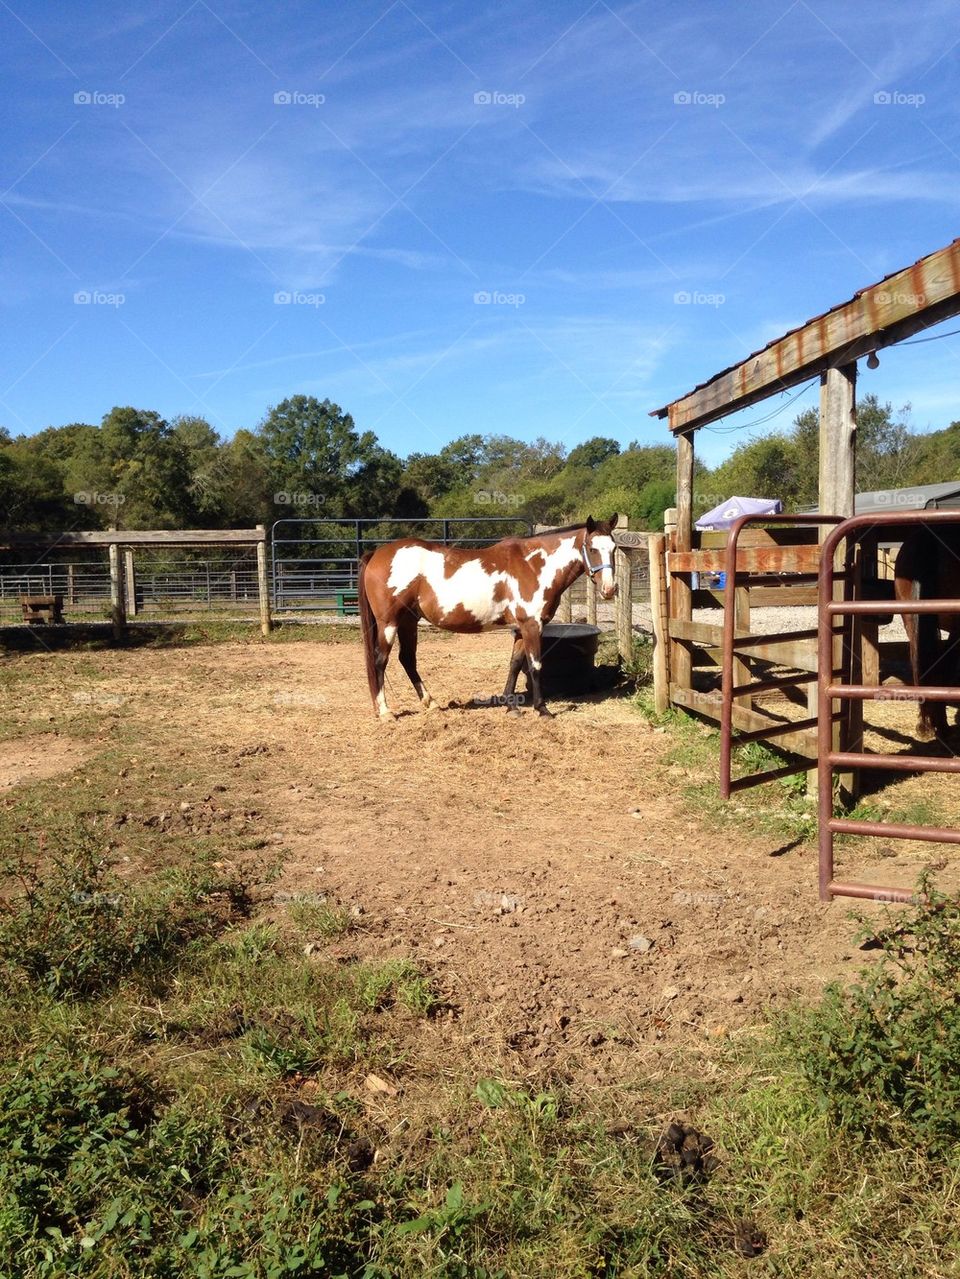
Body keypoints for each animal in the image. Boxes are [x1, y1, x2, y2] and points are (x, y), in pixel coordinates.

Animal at [357, 516, 618, 721]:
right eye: (592, 548)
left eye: (614, 548)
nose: (609, 589)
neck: (533, 565)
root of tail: (376, 554)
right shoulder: (532, 625)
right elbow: (535, 666)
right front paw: (542, 709)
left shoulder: (520, 628)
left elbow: (515, 665)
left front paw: (511, 706)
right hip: (388, 623)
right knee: (381, 661)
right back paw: (385, 712)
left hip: (408, 622)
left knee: (407, 660)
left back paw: (431, 703)